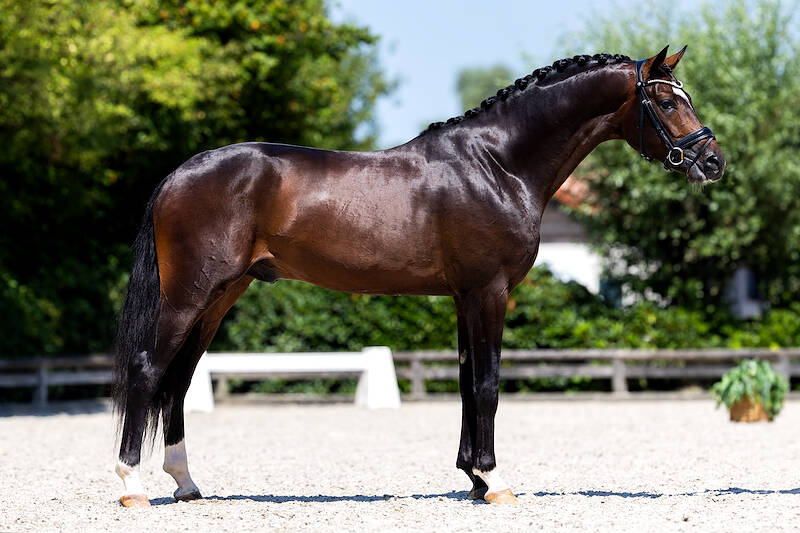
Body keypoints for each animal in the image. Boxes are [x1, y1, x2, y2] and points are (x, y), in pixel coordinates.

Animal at [112, 46, 725, 507]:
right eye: (665, 99)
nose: (713, 162)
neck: (497, 164)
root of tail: (177, 176)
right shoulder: (488, 292)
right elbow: (487, 384)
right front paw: (496, 481)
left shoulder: (463, 297)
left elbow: (466, 382)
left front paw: (472, 478)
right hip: (189, 294)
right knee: (148, 370)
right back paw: (133, 486)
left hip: (221, 294)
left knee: (178, 379)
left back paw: (187, 484)